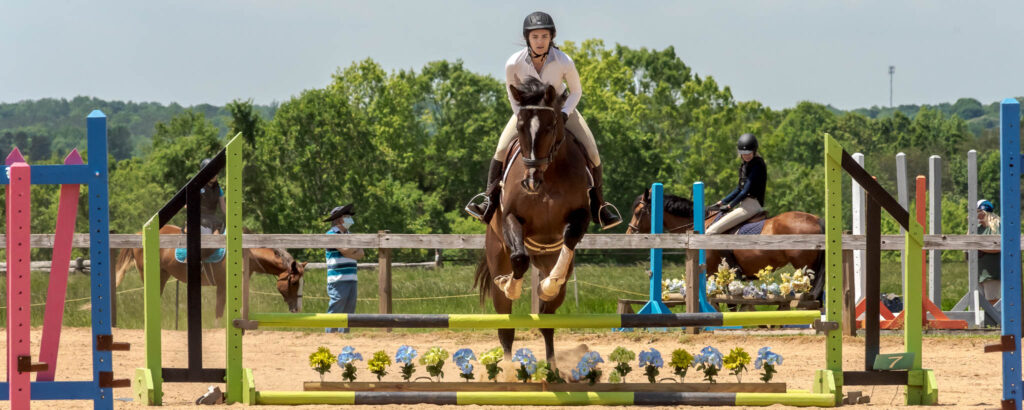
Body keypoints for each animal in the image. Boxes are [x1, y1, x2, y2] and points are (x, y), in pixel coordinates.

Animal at [114, 224, 307, 317]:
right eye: (294, 282)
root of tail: (139, 234)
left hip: (163, 274)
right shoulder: (224, 286)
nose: (297, 309)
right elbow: (221, 312)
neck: (247, 253)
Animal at [475, 78, 598, 366]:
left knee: (547, 321)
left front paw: (550, 284)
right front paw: (511, 285)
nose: (530, 182)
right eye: (520, 127)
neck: (548, 175)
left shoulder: (580, 216)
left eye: (551, 127)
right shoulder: (511, 218)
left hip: (549, 262)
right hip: (497, 255)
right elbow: (519, 259)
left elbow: (569, 239)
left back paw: (553, 369)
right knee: (506, 329)